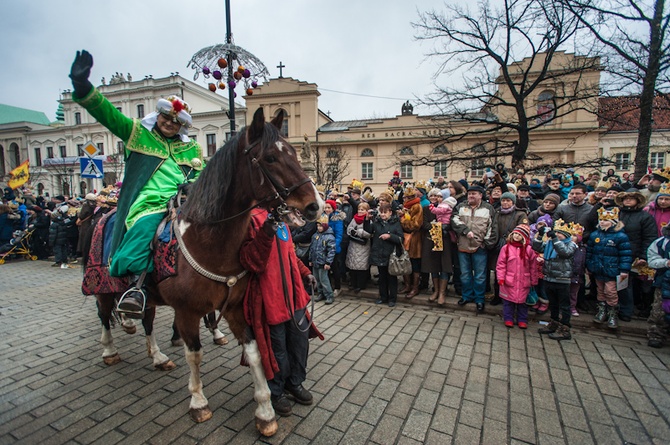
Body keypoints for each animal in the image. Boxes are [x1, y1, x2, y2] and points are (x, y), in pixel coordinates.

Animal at [148, 108, 322, 438]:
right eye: (270, 158)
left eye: (295, 153)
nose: (315, 205)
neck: (208, 240)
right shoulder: (187, 311)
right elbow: (194, 355)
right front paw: (198, 402)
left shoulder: (235, 307)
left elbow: (255, 353)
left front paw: (265, 411)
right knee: (127, 318)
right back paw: (128, 350)